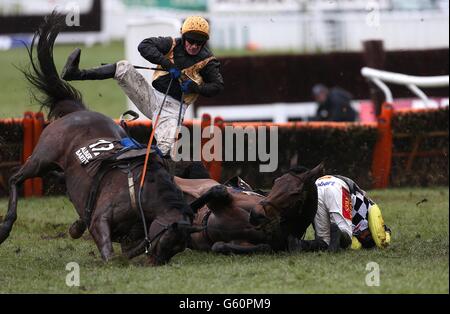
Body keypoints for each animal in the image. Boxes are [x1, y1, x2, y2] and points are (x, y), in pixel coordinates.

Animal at [0, 13, 199, 266]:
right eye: (169, 241)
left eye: (178, 247)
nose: (157, 263)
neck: (143, 193)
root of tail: (78, 110)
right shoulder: (100, 222)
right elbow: (109, 254)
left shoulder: (129, 237)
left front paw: (76, 228)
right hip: (41, 157)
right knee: (15, 178)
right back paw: (5, 227)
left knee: (58, 177)